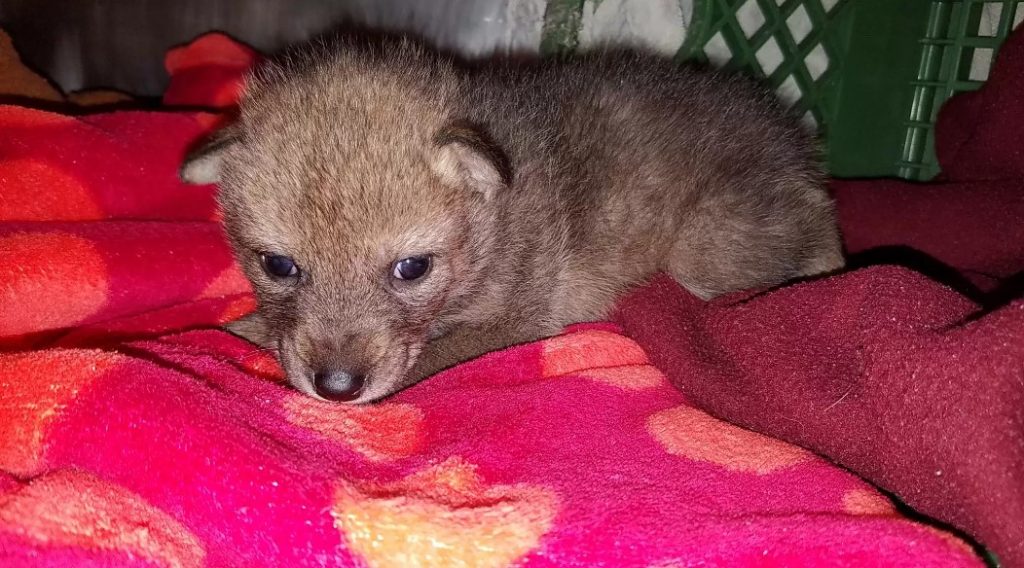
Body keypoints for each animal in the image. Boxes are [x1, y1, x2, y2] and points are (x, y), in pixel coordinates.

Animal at [182, 35, 839, 403]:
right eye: (278, 265)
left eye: (412, 268)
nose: (337, 388)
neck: (491, 227)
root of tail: (795, 139)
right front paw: (242, 332)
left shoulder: (514, 322)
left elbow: (432, 362)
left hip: (704, 256)